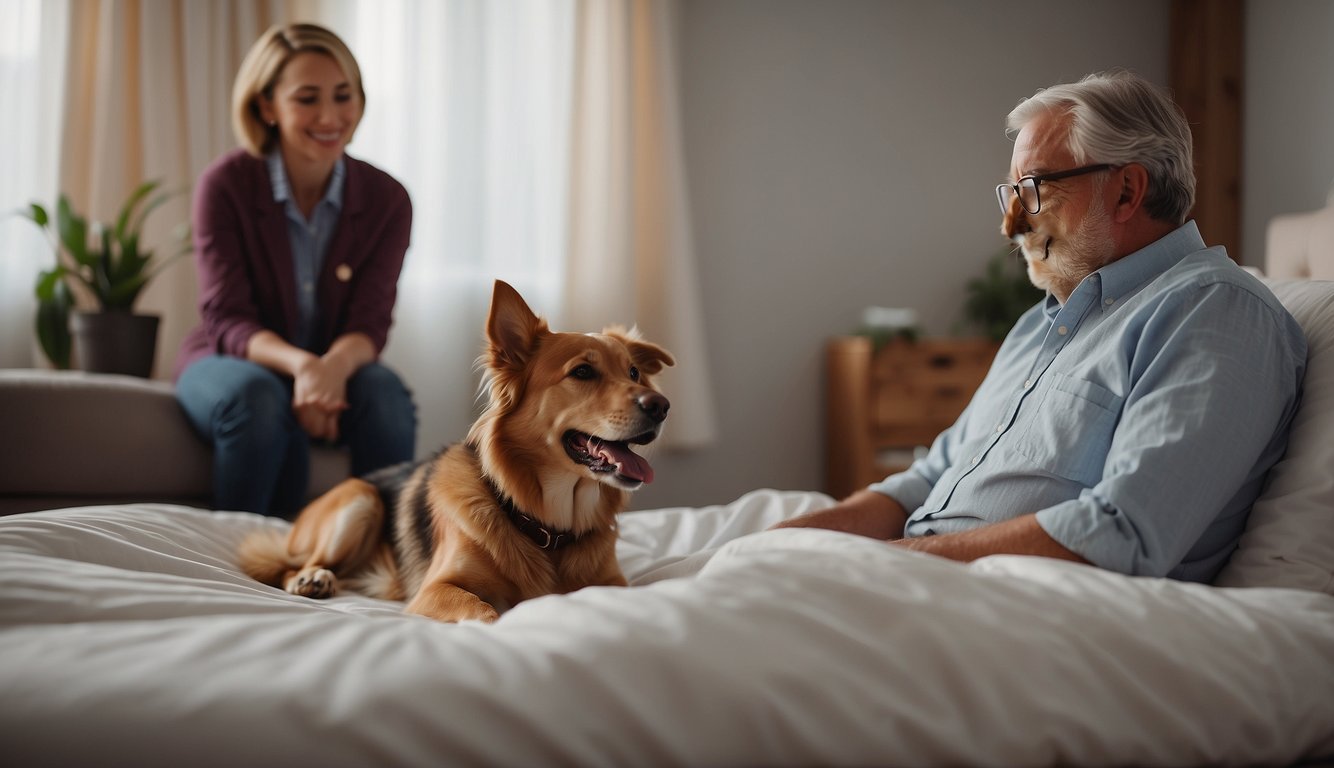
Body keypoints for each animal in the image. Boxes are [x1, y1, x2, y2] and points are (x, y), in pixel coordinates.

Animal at [236, 280, 672, 624]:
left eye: (634, 373)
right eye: (582, 372)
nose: (661, 406)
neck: (547, 527)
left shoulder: (616, 583)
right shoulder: (435, 589)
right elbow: (485, 611)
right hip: (360, 501)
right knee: (297, 566)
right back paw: (312, 579)